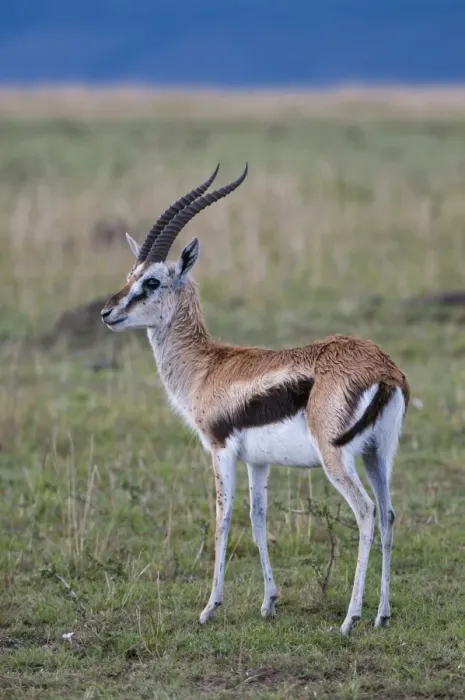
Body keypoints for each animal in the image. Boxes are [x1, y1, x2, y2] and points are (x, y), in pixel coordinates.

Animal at [101, 164, 409, 635]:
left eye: (151, 281)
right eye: (129, 277)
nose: (107, 312)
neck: (207, 366)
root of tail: (384, 369)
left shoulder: (220, 449)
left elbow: (223, 519)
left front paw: (210, 607)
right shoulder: (258, 462)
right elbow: (258, 518)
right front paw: (269, 602)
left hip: (336, 458)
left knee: (366, 512)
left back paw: (350, 618)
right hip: (379, 453)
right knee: (389, 513)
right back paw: (382, 614)